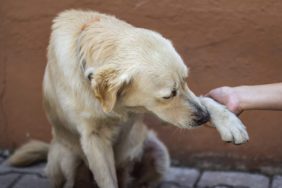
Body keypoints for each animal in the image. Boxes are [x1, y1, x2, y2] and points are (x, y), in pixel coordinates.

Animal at [7, 9, 248, 188]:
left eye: (186, 81)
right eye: (168, 95)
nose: (203, 118)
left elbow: (205, 99)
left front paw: (229, 122)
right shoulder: (93, 138)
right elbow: (106, 179)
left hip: (158, 152)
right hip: (66, 156)